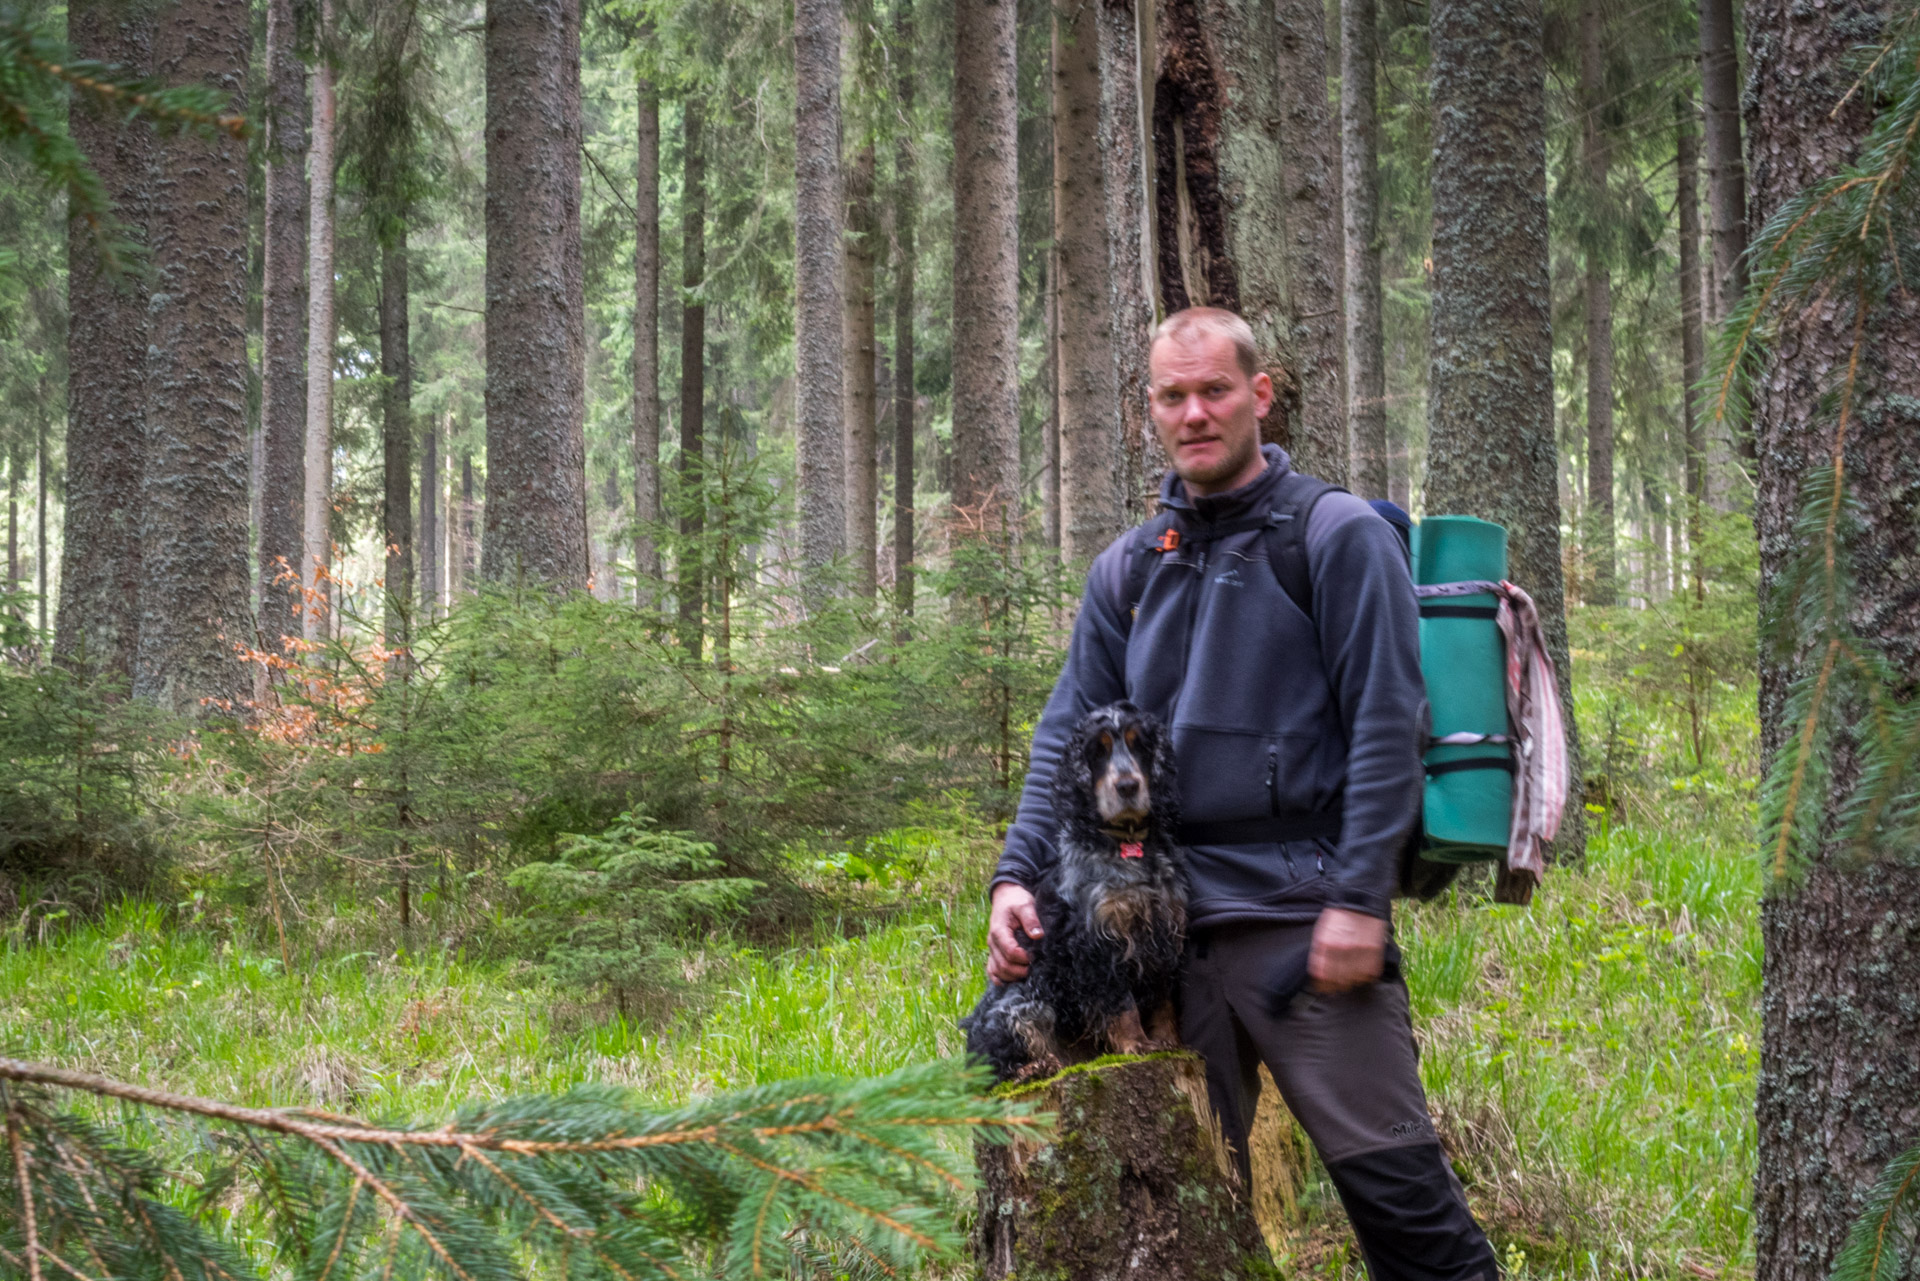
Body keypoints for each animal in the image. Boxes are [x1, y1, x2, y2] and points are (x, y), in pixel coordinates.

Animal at [960, 702, 1182, 1083]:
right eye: (1097, 751)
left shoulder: (1162, 932)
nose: (1128, 786)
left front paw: (1169, 1040)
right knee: (994, 1069)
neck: (1127, 847)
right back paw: (1033, 1067)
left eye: (1140, 745)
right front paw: (1136, 1045)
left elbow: (1162, 1000)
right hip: (1023, 1005)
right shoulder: (1097, 943)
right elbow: (1121, 1004)